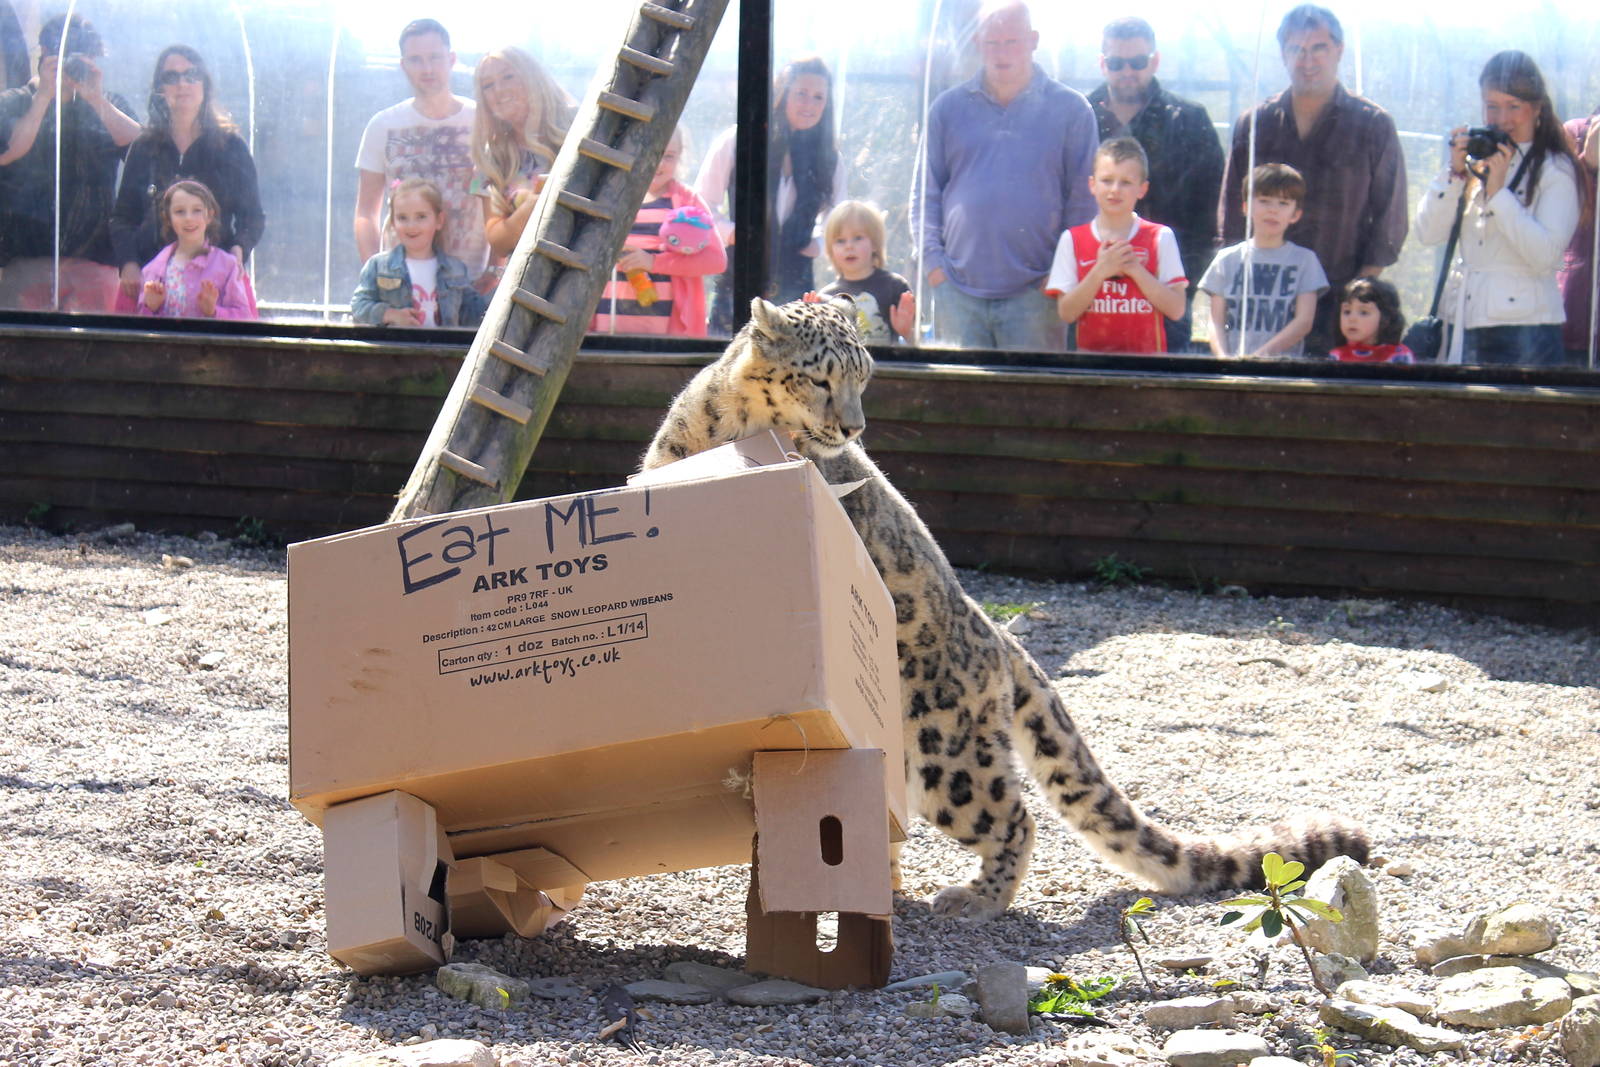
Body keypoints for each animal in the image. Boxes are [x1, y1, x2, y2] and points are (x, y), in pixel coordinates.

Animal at [643, 296, 1368, 919]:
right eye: (821, 379)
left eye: (864, 378)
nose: (854, 425)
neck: (731, 431)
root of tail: (996, 634)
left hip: (949, 755)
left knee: (1013, 818)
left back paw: (975, 899)